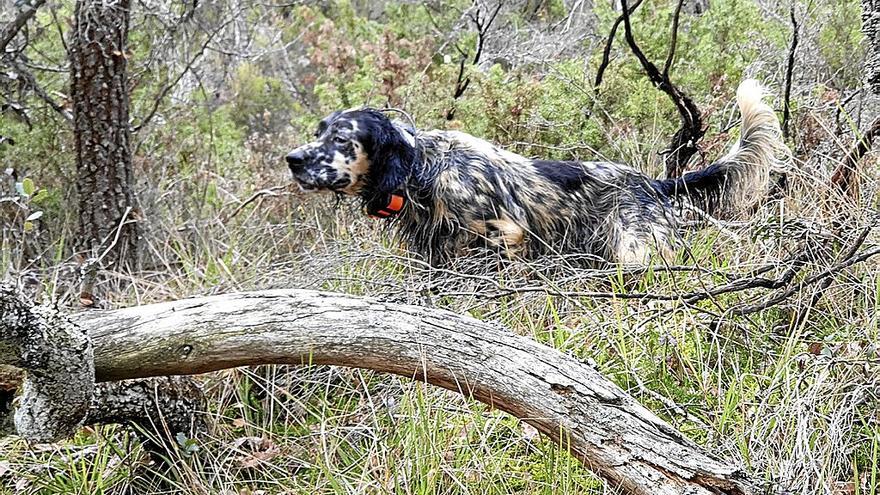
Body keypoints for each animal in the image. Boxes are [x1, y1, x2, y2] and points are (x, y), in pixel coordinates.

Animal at [286, 80, 788, 268]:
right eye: (318, 132)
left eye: (341, 138)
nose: (292, 159)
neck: (424, 169)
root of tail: (652, 183)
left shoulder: (506, 235)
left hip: (637, 249)